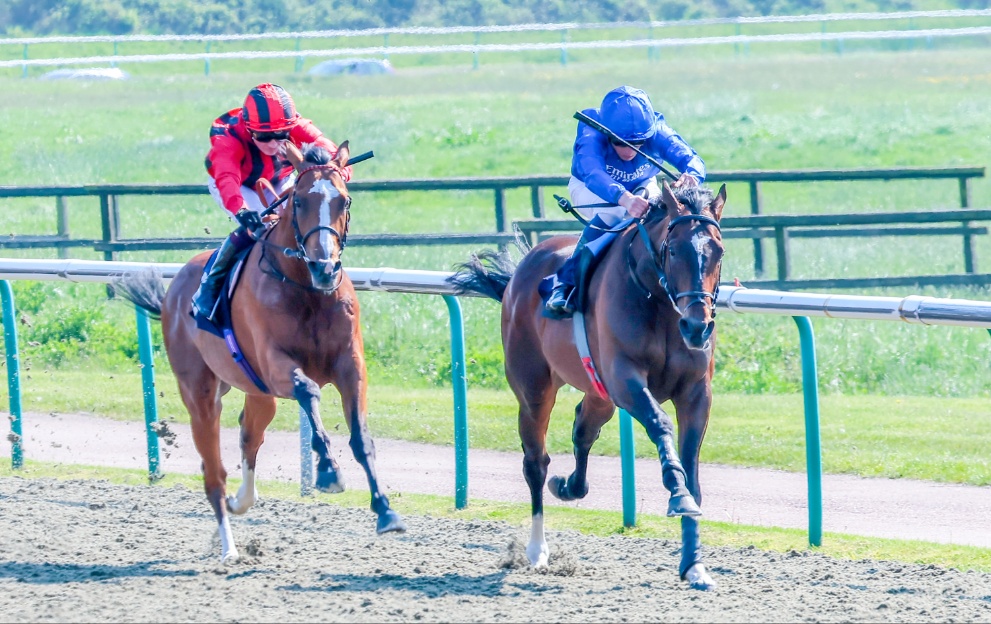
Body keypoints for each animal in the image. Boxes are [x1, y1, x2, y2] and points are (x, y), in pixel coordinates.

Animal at [117, 144, 406, 564]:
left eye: (344, 200)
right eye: (299, 201)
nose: (324, 267)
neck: (307, 289)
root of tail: (173, 294)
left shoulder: (351, 367)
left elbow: (361, 437)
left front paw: (385, 511)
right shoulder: (276, 366)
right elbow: (308, 391)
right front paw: (327, 470)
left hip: (258, 393)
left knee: (249, 435)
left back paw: (242, 501)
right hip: (201, 395)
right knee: (213, 471)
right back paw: (229, 547)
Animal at [454, 179, 724, 588]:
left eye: (718, 250)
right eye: (674, 249)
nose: (697, 326)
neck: (659, 303)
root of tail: (521, 272)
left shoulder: (695, 394)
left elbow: (691, 468)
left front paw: (694, 565)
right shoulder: (625, 378)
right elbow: (661, 425)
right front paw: (676, 493)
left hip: (600, 394)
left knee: (583, 430)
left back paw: (569, 486)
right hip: (534, 389)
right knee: (536, 462)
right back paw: (537, 550)